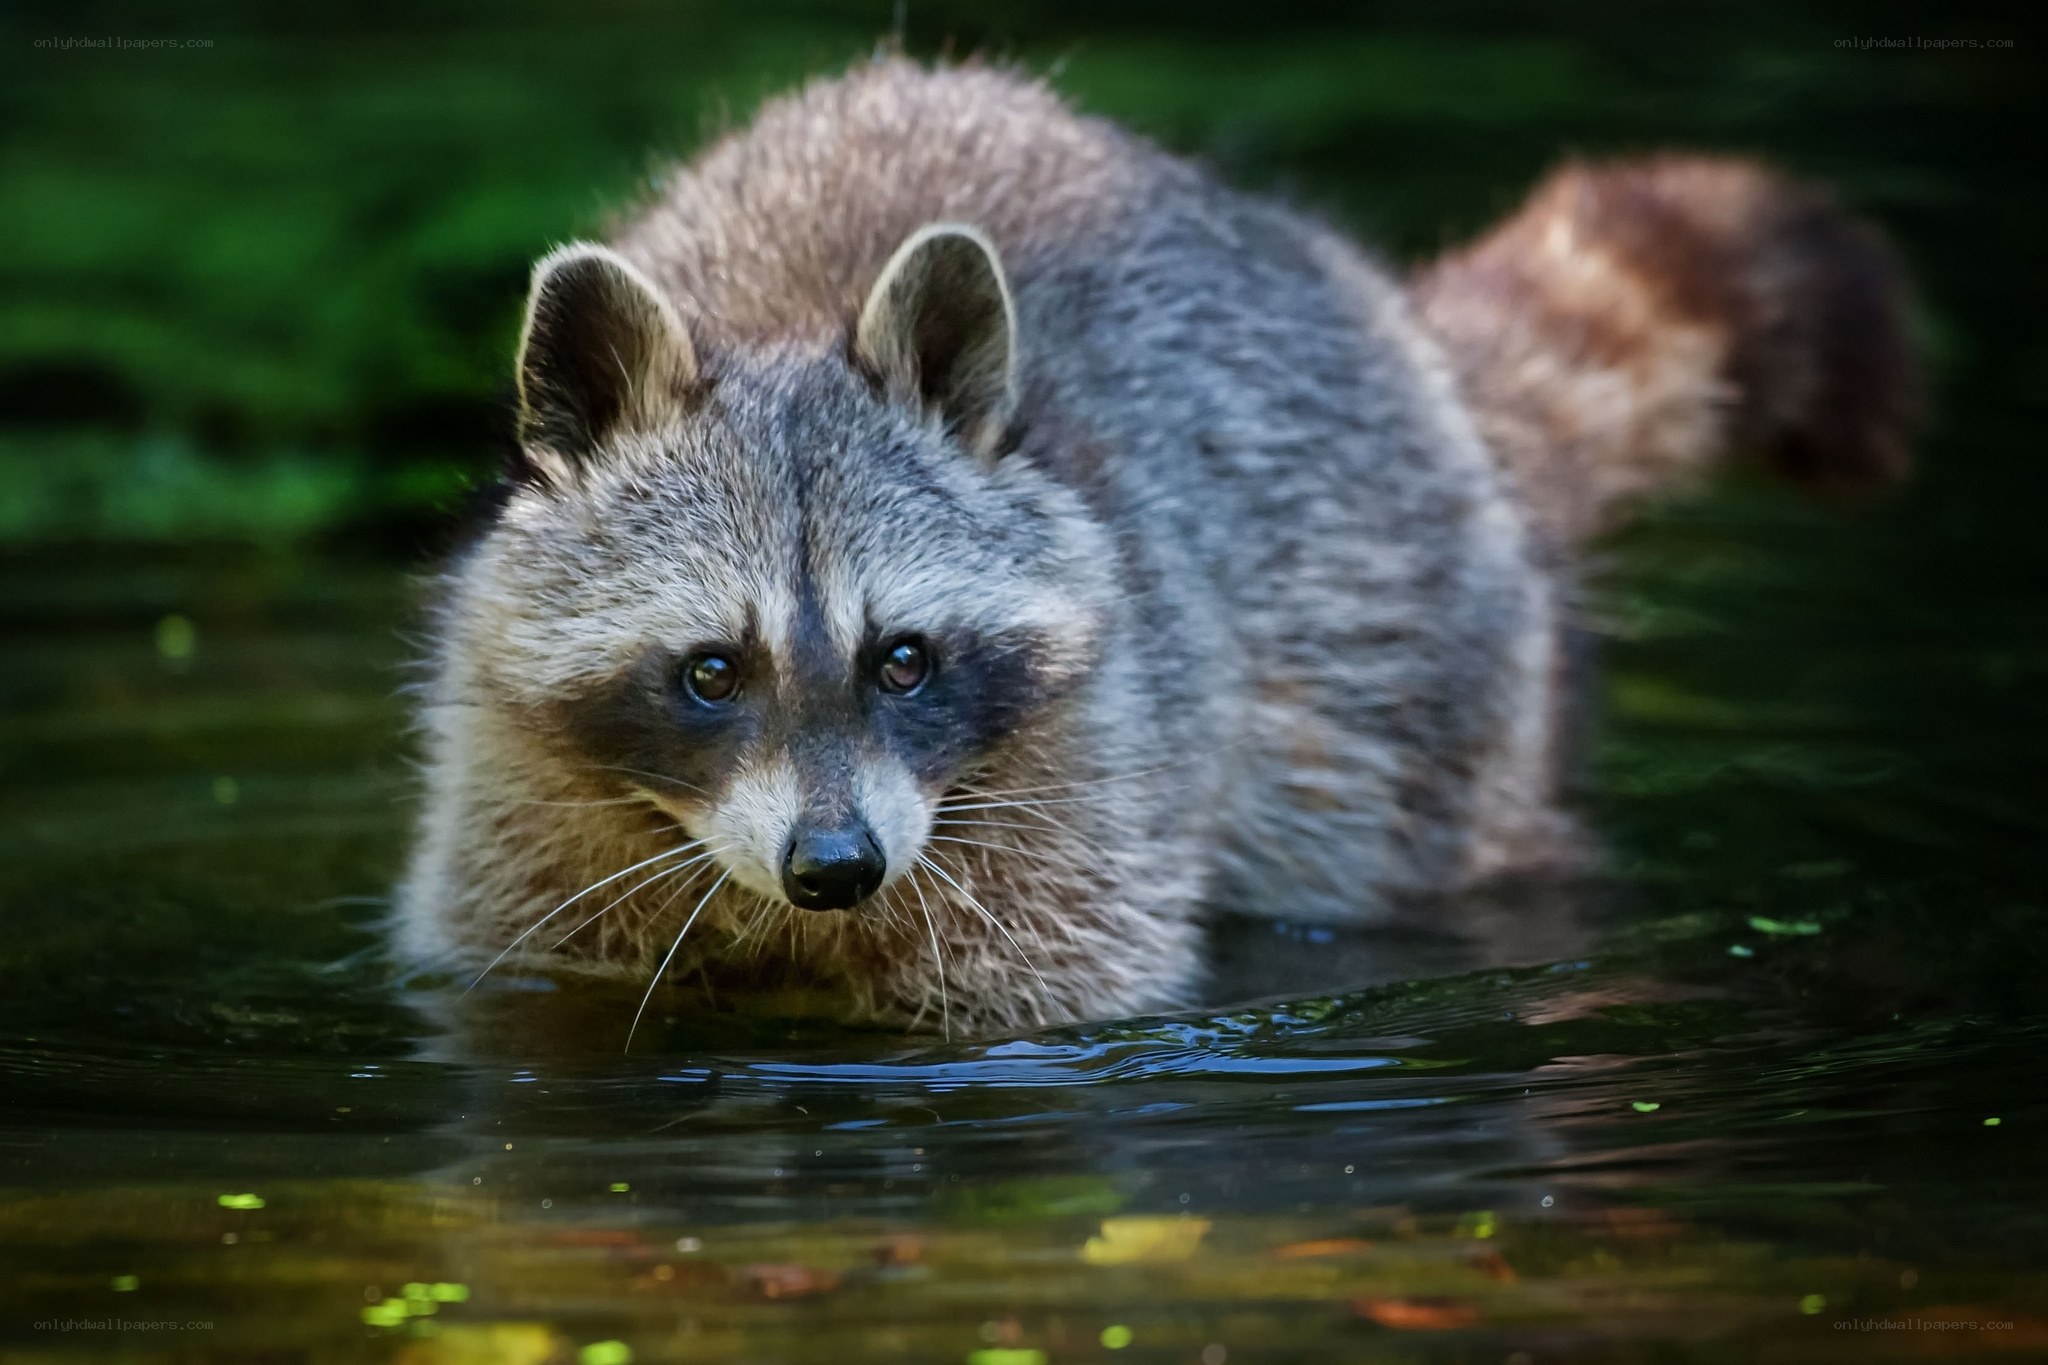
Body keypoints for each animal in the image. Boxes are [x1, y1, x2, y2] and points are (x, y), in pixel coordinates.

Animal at [396, 58, 1916, 1036]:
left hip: (1408, 653)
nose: (838, 867)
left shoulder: (1084, 785)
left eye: (904, 658)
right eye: (713, 669)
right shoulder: (519, 805)